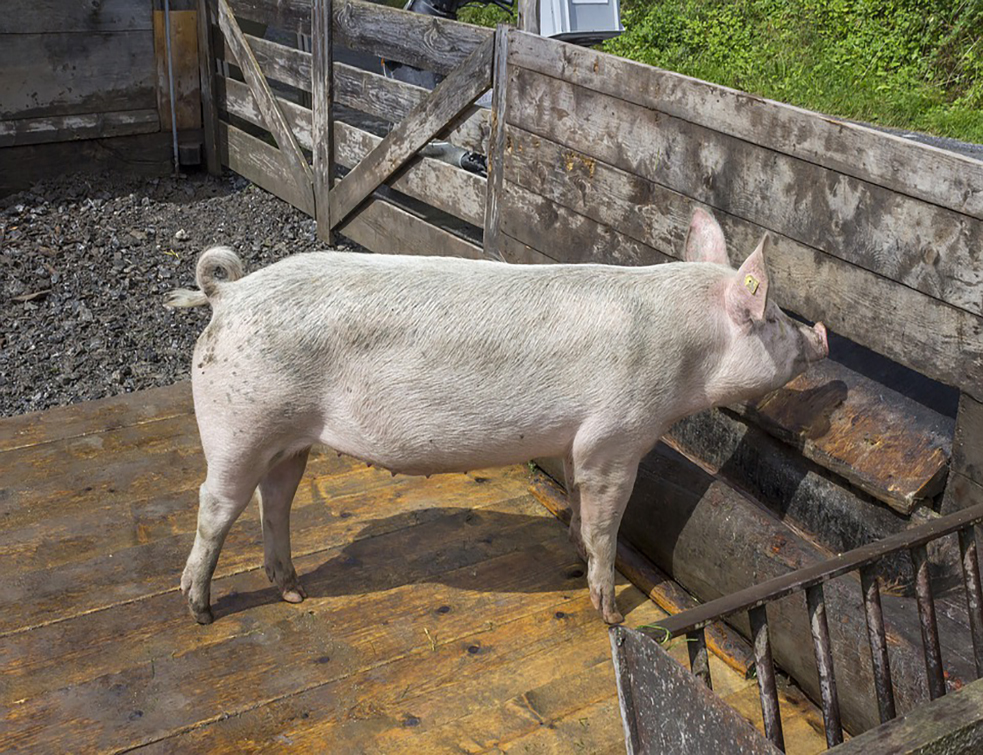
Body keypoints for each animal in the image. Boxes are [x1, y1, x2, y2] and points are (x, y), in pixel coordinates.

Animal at [165, 208, 828, 626]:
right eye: (771, 316)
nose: (820, 335)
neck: (688, 351)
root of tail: (228, 295)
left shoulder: (573, 441)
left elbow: (577, 503)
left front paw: (573, 551)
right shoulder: (615, 438)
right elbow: (606, 523)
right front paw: (611, 613)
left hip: (289, 439)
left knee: (274, 500)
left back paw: (295, 593)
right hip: (240, 422)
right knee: (215, 504)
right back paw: (201, 611)